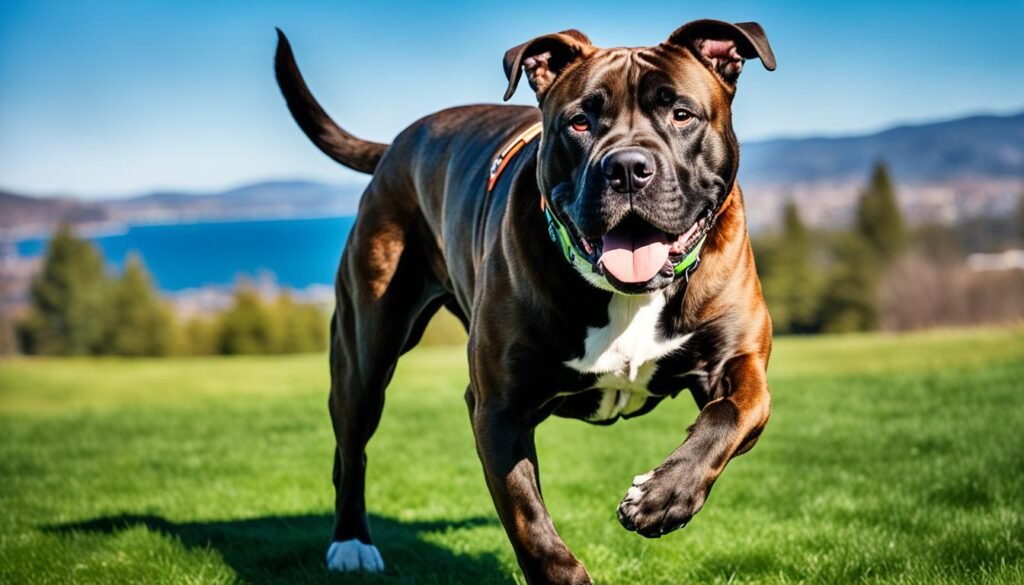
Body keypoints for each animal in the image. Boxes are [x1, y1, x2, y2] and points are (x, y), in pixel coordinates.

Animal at [272, 18, 774, 585]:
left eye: (681, 113)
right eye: (579, 122)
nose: (626, 167)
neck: (624, 296)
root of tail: (397, 143)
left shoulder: (738, 362)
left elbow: (734, 413)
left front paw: (665, 496)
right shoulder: (498, 408)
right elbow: (530, 521)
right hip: (364, 353)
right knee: (351, 448)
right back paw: (350, 544)